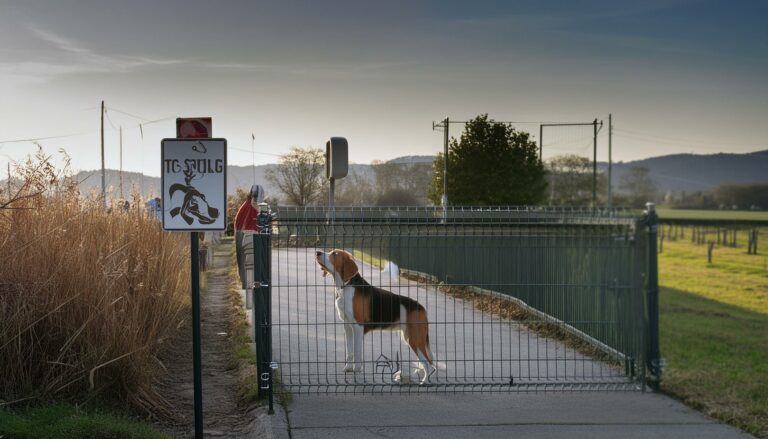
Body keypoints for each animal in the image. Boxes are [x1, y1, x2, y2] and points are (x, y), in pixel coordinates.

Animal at [316, 251, 436, 384]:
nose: (318, 252)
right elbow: (350, 351)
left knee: (429, 365)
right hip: (409, 337)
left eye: (335, 254)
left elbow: (357, 352)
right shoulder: (347, 327)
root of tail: (422, 308)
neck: (346, 286)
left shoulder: (357, 327)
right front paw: (348, 368)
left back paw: (424, 381)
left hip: (415, 339)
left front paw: (356, 370)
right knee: (423, 363)